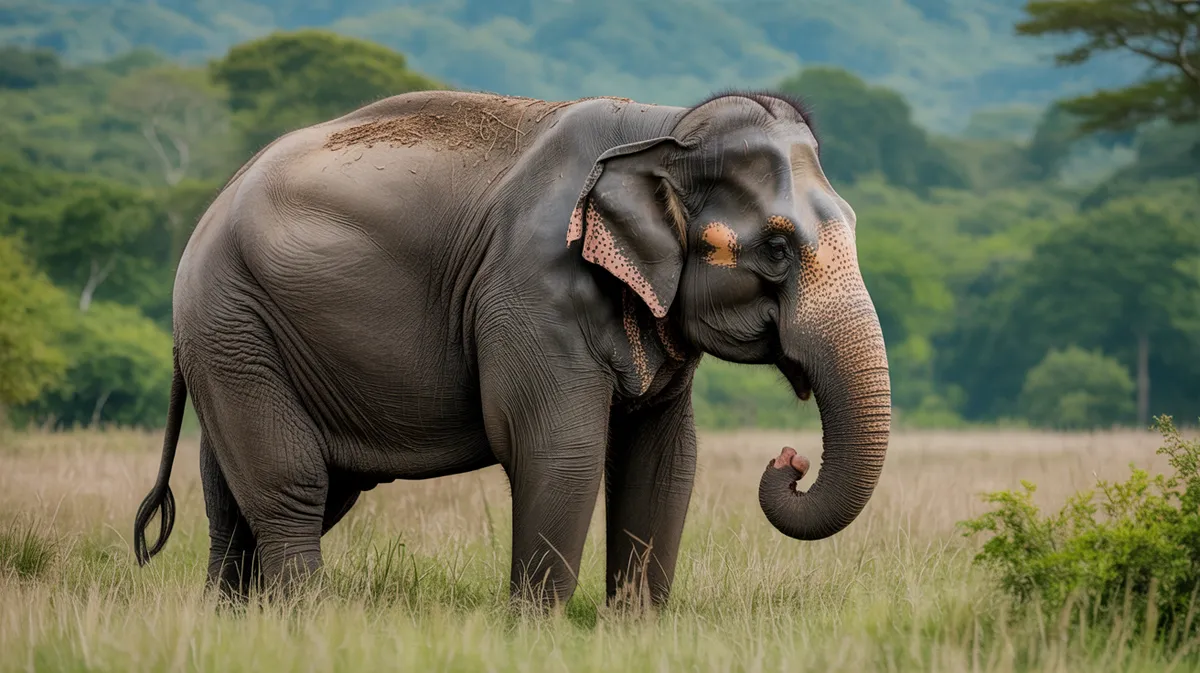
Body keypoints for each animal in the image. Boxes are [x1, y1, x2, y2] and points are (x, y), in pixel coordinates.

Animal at [132, 89, 891, 608]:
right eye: (777, 247)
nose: (790, 459)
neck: (664, 127)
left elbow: (665, 461)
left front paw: (634, 629)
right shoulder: (532, 290)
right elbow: (560, 451)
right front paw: (536, 631)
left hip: (243, 338)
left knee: (241, 498)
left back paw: (235, 620)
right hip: (232, 322)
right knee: (292, 487)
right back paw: (308, 618)